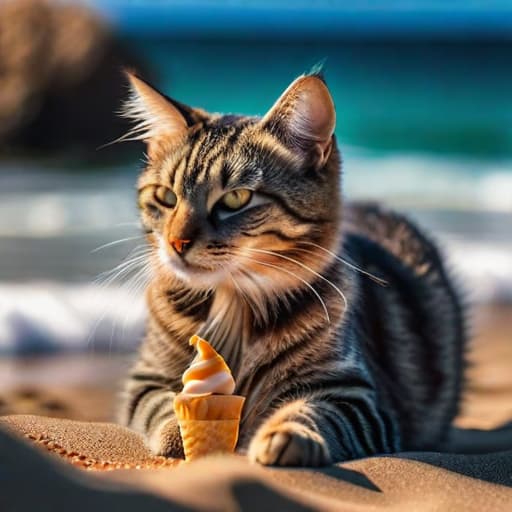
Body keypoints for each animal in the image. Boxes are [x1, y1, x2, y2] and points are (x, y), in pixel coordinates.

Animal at [118, 70, 466, 466]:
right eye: (166, 197)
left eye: (236, 199)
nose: (176, 243)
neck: (232, 302)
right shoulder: (146, 378)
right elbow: (161, 404)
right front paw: (182, 429)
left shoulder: (356, 395)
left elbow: (313, 411)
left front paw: (286, 434)